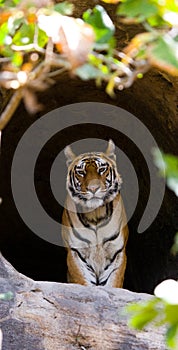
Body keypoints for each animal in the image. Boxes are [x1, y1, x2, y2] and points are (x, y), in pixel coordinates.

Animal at [61, 139, 128, 288]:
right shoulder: (76, 252)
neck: (95, 215)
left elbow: (113, 284)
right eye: (81, 172)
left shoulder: (117, 252)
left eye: (101, 169)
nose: (93, 188)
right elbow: (82, 282)